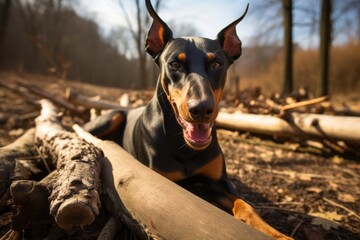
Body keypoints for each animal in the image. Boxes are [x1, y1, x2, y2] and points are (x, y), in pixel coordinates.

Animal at [83, 0, 292, 239]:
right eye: (175, 64)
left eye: (217, 64)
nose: (201, 108)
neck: (184, 146)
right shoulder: (163, 181)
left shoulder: (219, 182)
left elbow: (246, 206)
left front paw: (277, 234)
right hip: (113, 116)